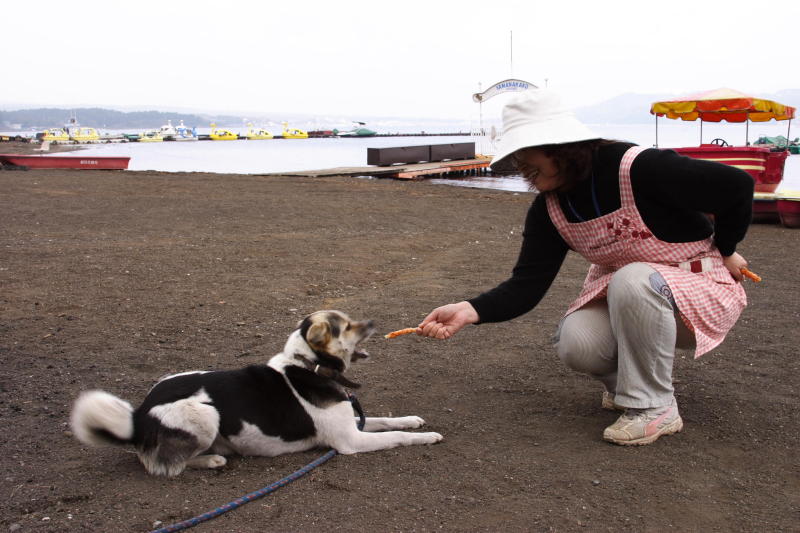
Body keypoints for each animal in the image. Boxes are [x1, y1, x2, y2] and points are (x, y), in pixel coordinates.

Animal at [69, 310, 444, 476]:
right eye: (345, 326)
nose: (374, 323)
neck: (308, 366)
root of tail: (138, 418)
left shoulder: (353, 422)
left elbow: (389, 421)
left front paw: (413, 420)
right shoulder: (350, 441)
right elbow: (396, 437)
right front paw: (427, 437)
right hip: (205, 413)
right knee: (164, 466)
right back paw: (212, 459)